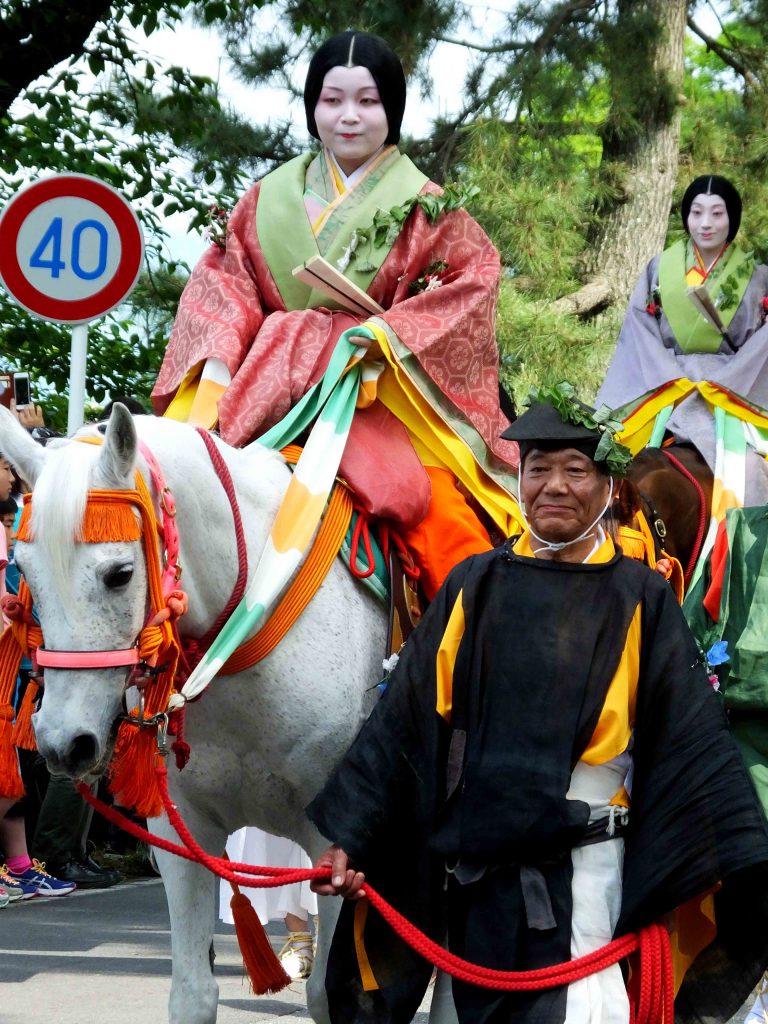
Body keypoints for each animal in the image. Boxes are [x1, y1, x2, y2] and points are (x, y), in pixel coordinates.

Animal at [0, 405, 385, 1024]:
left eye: (120, 573)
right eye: (25, 572)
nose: (64, 743)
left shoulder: (336, 841)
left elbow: (332, 993)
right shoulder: (182, 831)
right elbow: (192, 994)